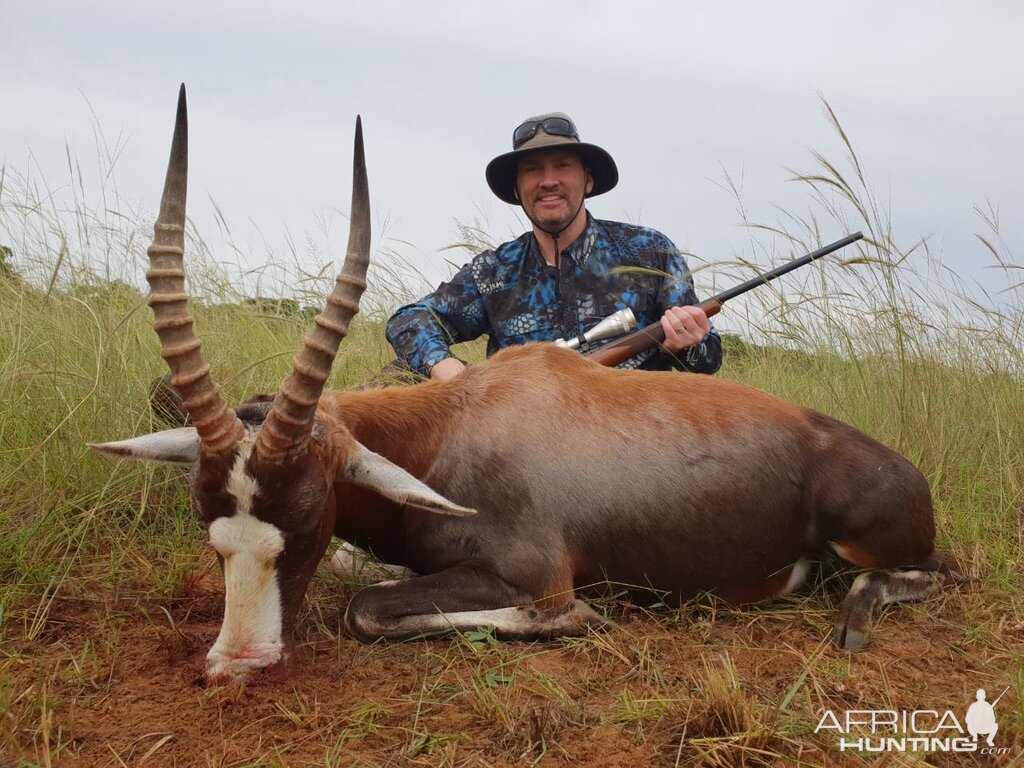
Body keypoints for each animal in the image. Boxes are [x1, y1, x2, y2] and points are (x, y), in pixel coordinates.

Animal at [90, 88, 942, 684]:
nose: (240, 664)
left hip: (875, 540)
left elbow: (373, 610)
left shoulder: (536, 576)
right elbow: (361, 577)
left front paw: (586, 619)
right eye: (209, 518)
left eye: (304, 516)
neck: (450, 428)